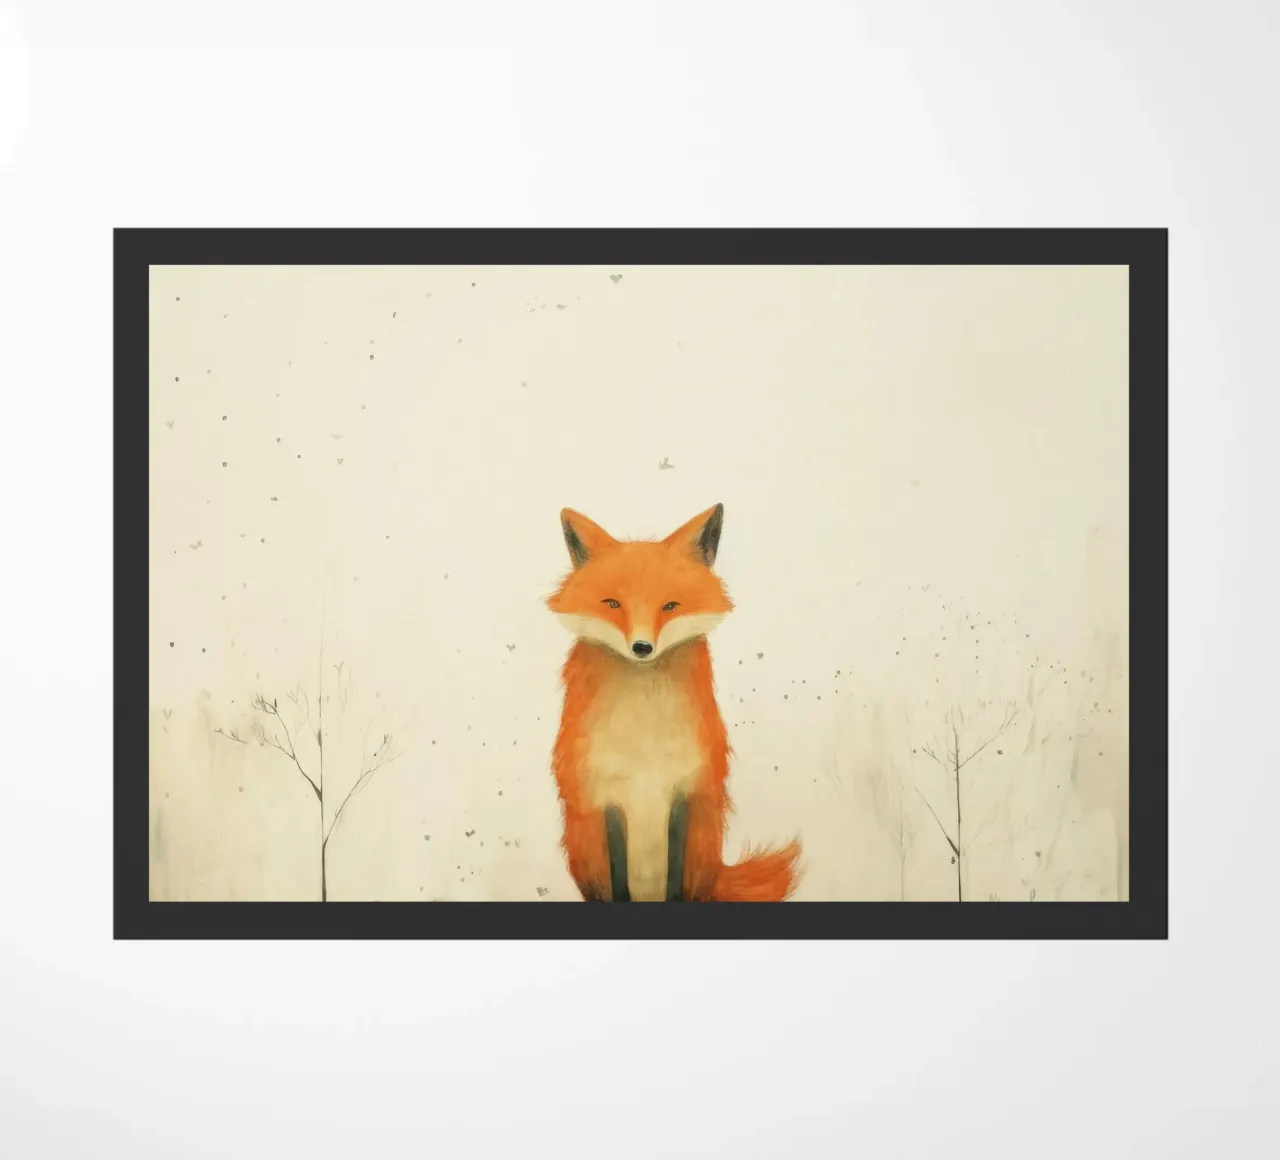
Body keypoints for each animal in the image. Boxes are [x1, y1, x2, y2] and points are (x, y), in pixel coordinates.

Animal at [545, 502, 802, 902]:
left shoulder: (686, 794)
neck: (644, 740)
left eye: (669, 606)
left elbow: (675, 881)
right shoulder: (605, 799)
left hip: (703, 850)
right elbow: (619, 881)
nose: (642, 647)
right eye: (613, 604)